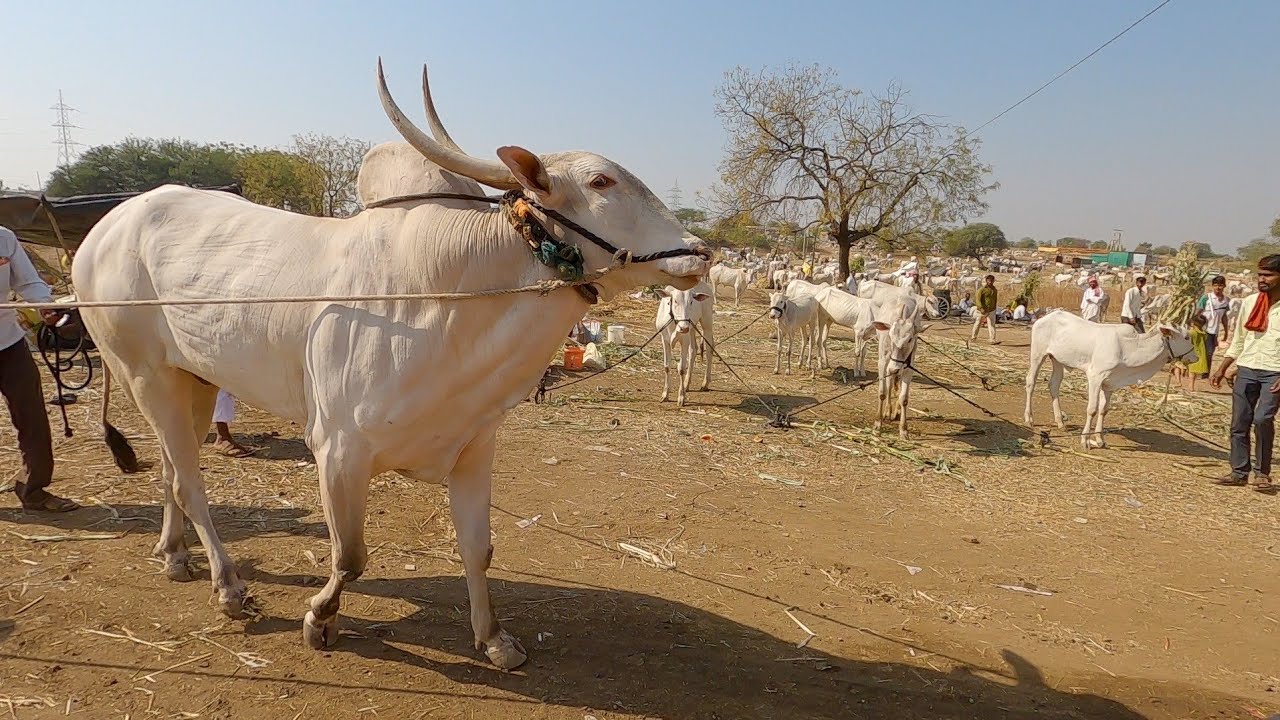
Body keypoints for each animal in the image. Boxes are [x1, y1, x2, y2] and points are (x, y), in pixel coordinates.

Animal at [70, 60, 709, 671]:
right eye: (602, 181)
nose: (700, 253)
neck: (448, 302)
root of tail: (107, 226)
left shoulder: (473, 447)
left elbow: (479, 549)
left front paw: (495, 639)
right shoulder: (337, 449)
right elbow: (350, 555)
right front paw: (319, 620)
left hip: (195, 379)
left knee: (171, 469)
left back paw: (174, 554)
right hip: (143, 374)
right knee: (190, 480)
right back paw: (227, 586)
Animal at [1025, 311, 1195, 449]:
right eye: (1187, 337)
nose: (1196, 357)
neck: (1129, 348)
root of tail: (1046, 317)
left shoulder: (1110, 384)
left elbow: (1103, 410)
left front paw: (1100, 439)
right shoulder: (1095, 377)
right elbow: (1092, 409)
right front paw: (1085, 440)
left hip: (1058, 360)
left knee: (1054, 385)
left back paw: (1060, 422)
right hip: (1038, 354)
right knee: (1030, 382)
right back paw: (1029, 418)